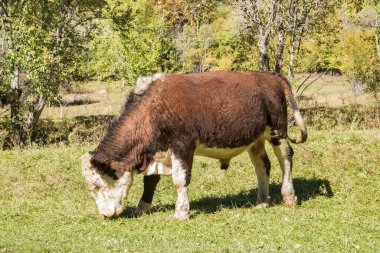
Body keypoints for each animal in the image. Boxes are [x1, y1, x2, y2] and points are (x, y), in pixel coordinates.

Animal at [81, 70, 308, 219]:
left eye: (98, 184)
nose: (105, 215)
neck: (154, 108)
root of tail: (270, 76)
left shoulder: (182, 146)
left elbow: (180, 180)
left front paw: (181, 212)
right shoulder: (157, 151)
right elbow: (150, 181)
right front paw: (142, 208)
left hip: (277, 130)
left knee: (285, 158)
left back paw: (289, 196)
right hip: (255, 138)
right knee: (262, 165)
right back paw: (262, 201)